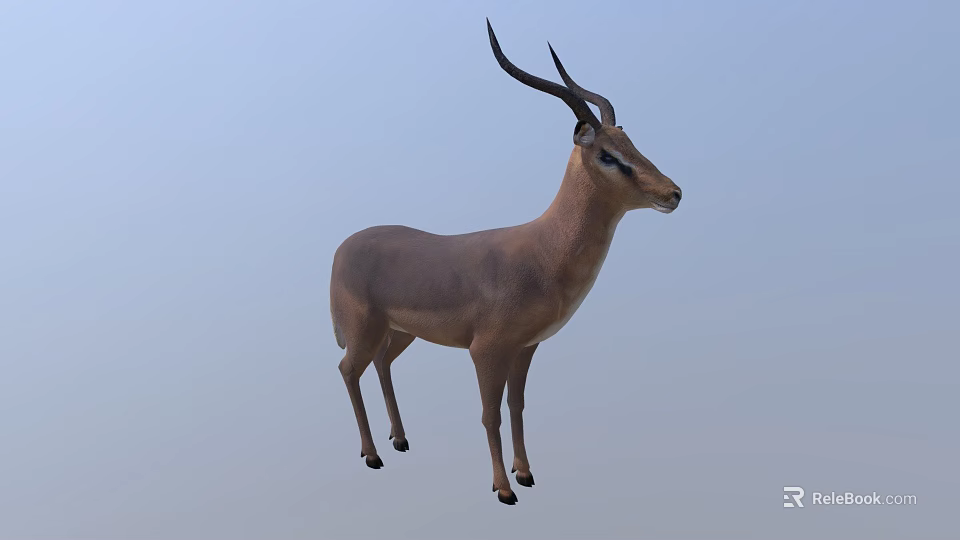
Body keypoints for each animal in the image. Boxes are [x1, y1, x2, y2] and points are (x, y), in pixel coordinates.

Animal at [330, 19, 682, 505]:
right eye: (608, 155)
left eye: (632, 142)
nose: (674, 193)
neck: (543, 250)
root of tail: (342, 246)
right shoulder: (487, 350)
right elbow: (489, 414)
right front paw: (503, 489)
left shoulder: (525, 347)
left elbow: (517, 407)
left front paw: (526, 472)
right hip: (364, 331)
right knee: (348, 370)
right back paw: (372, 455)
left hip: (399, 333)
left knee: (382, 365)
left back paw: (399, 440)